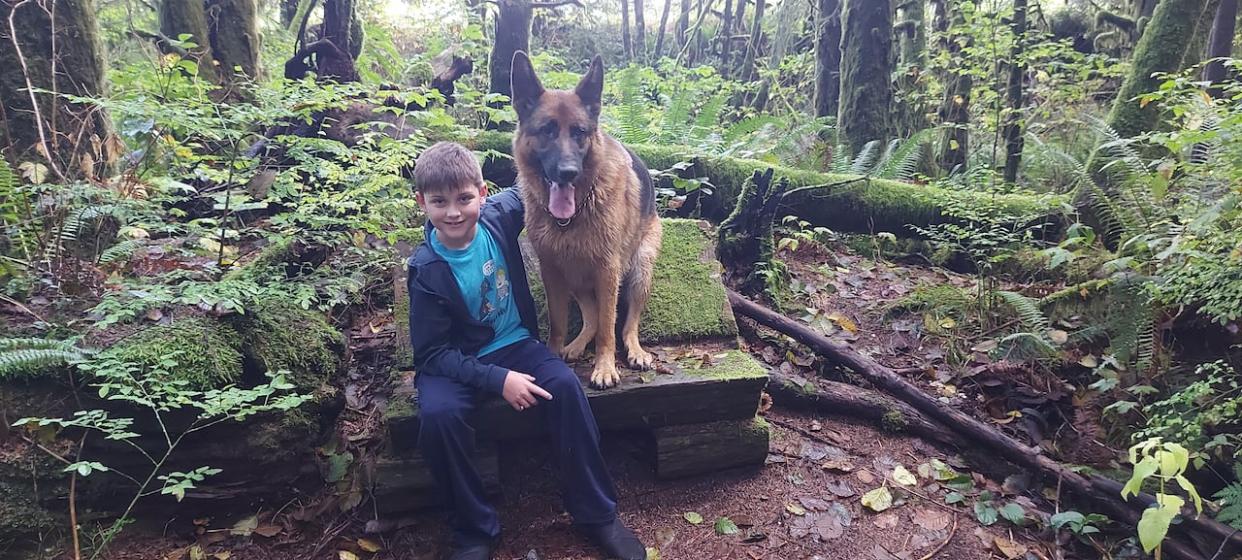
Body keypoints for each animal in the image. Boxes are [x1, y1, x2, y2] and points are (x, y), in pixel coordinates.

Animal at [506, 50, 660, 387]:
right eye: (547, 130)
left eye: (580, 132)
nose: (568, 173)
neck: (573, 217)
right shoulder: (552, 271)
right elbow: (559, 323)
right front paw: (554, 352)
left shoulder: (608, 271)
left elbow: (608, 329)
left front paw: (604, 368)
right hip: (574, 274)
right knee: (591, 319)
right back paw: (575, 346)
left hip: (639, 271)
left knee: (625, 324)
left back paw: (635, 351)